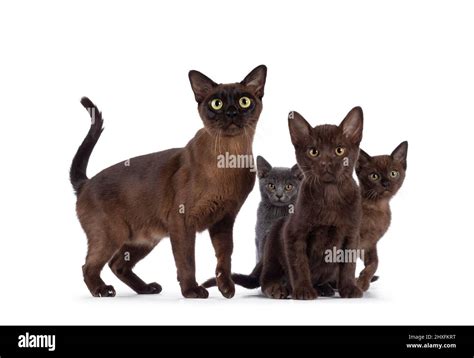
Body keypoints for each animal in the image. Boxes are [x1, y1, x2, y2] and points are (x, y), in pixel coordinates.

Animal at [69, 65, 266, 300]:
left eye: (244, 101)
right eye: (216, 103)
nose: (231, 113)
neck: (229, 159)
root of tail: (85, 183)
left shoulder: (224, 220)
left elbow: (224, 257)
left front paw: (226, 288)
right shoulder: (182, 221)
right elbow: (187, 261)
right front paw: (192, 291)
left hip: (144, 240)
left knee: (117, 264)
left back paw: (147, 288)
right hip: (112, 235)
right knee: (88, 266)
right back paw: (102, 290)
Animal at [262, 107, 364, 300]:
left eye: (339, 150)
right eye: (313, 152)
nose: (326, 163)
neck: (330, 195)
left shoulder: (352, 234)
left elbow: (348, 265)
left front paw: (349, 288)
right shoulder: (294, 234)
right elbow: (299, 264)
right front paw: (303, 290)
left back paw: (324, 288)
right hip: (273, 242)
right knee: (267, 277)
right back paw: (278, 288)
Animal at [356, 141, 408, 290]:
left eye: (393, 173)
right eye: (374, 176)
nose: (385, 183)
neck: (377, 208)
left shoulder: (370, 244)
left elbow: (375, 263)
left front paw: (363, 281)